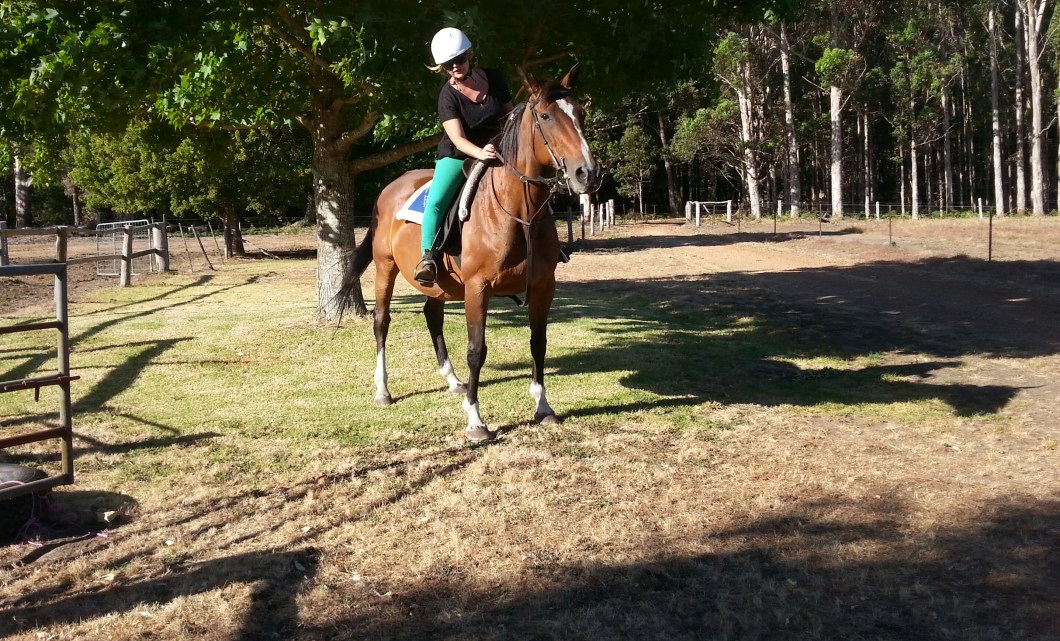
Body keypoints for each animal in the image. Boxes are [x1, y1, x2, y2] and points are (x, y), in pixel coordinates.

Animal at [339, 64, 602, 442]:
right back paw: (383, 390)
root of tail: (390, 188)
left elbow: (538, 342)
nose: (588, 173)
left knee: (431, 315)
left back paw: (454, 382)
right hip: (386, 268)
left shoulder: (543, 287)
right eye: (546, 116)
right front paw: (476, 421)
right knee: (381, 321)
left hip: (440, 283)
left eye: (580, 113)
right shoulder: (478, 289)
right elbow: (477, 351)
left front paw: (543, 407)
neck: (515, 212)